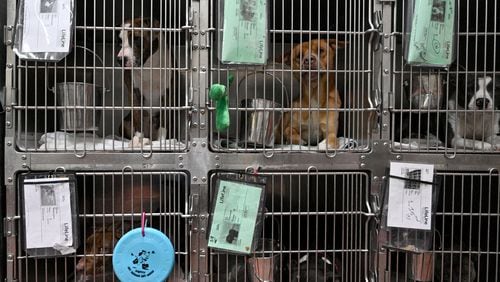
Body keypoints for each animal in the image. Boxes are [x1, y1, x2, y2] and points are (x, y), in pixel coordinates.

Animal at [116, 17, 175, 148]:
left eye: (137, 38)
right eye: (120, 41)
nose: (120, 59)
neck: (149, 66)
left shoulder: (168, 94)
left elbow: (164, 121)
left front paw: (162, 142)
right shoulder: (134, 93)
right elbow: (138, 117)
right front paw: (138, 140)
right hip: (125, 123)